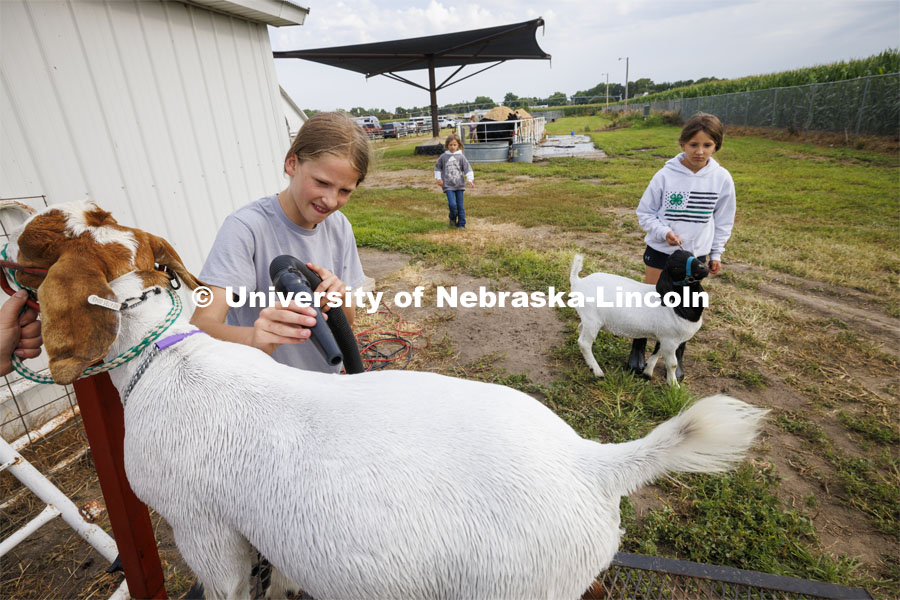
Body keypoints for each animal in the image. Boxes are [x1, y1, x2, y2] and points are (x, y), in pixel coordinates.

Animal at [568, 251, 712, 386]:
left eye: (692, 255)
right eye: (676, 268)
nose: (704, 268)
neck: (678, 307)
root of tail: (578, 281)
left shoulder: (663, 336)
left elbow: (657, 352)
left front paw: (648, 372)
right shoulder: (670, 340)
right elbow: (672, 364)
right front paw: (674, 386)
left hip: (588, 319)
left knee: (580, 330)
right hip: (592, 319)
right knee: (584, 343)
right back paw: (597, 372)